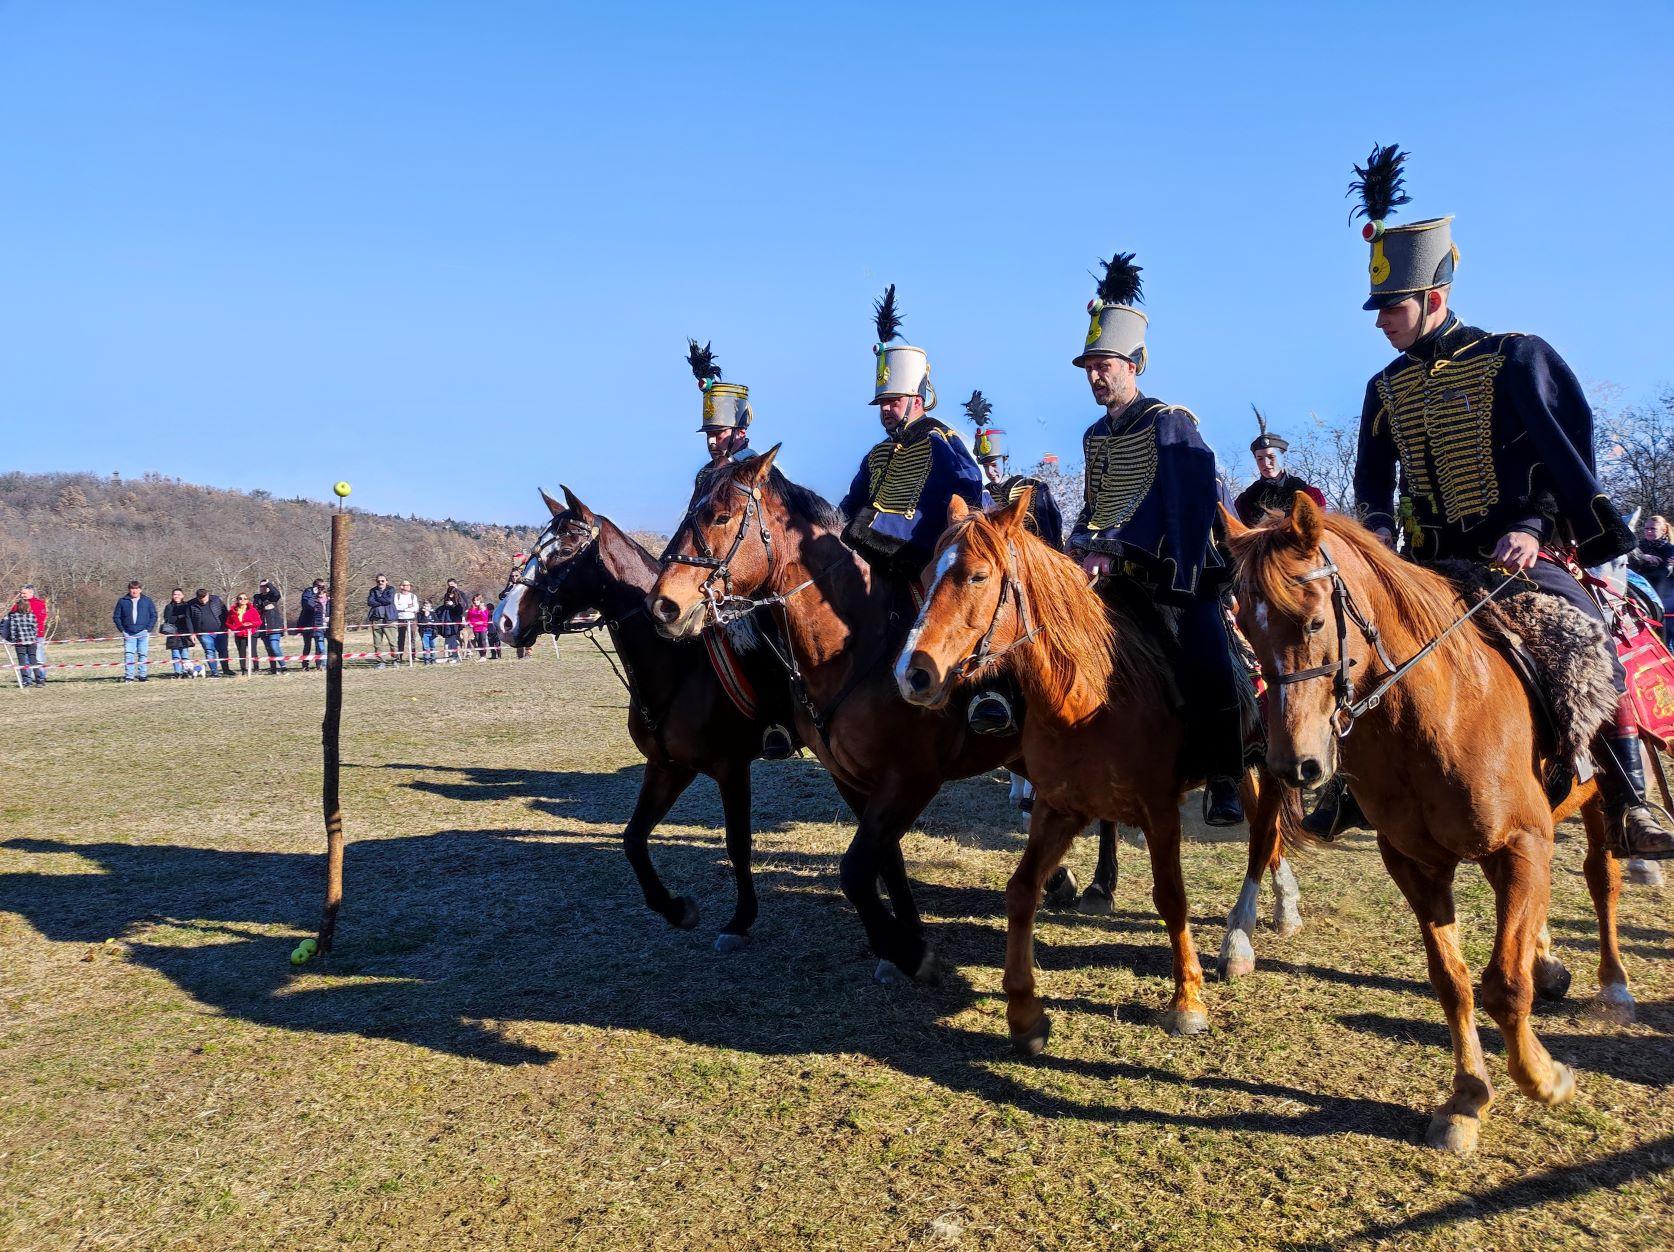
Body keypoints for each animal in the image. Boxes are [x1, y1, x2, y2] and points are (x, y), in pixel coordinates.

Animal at [495, 485, 783, 950]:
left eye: (567, 550)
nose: (502, 620)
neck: (681, 662)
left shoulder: (731, 768)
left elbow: (737, 843)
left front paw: (740, 920)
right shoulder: (668, 767)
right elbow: (632, 838)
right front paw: (676, 908)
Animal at [646, 445, 1017, 984]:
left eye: (720, 516)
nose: (663, 606)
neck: (857, 644)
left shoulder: (912, 778)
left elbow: (857, 870)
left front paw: (907, 951)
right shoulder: (854, 780)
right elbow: (884, 862)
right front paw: (905, 942)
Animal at [890, 488, 1292, 1044]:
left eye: (977, 576)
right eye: (928, 574)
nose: (912, 674)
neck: (1089, 693)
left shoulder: (1160, 810)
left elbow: (1172, 897)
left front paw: (1187, 1001)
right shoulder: (1059, 807)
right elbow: (1021, 891)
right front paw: (1025, 1012)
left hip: (1273, 765)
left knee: (1262, 836)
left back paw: (1241, 938)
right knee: (1267, 833)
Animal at [1232, 495, 1633, 1151]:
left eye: (1314, 623)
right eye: (1248, 627)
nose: (1296, 764)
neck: (1437, 713)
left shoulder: (1522, 843)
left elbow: (1504, 984)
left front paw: (1545, 1078)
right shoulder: (1415, 863)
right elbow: (1452, 979)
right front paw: (1467, 1098)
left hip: (1597, 806)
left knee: (1603, 880)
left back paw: (1615, 984)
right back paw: (1548, 961)